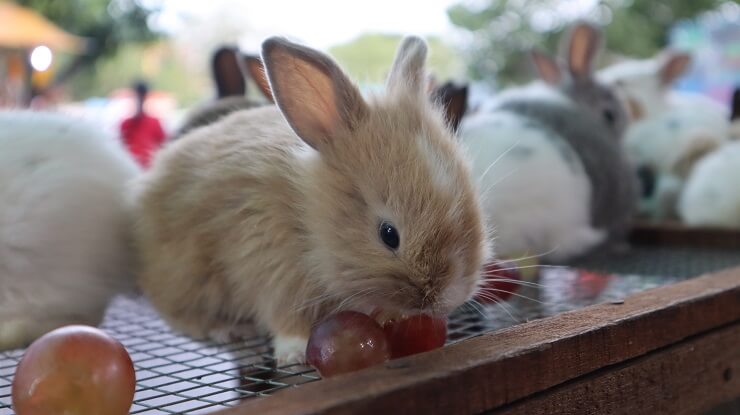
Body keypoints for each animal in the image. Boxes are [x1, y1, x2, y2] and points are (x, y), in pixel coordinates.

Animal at [133, 35, 492, 364]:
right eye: (389, 235)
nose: (449, 297)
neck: (308, 217)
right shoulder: (268, 266)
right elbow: (285, 320)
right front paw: (294, 354)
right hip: (191, 278)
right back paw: (228, 330)